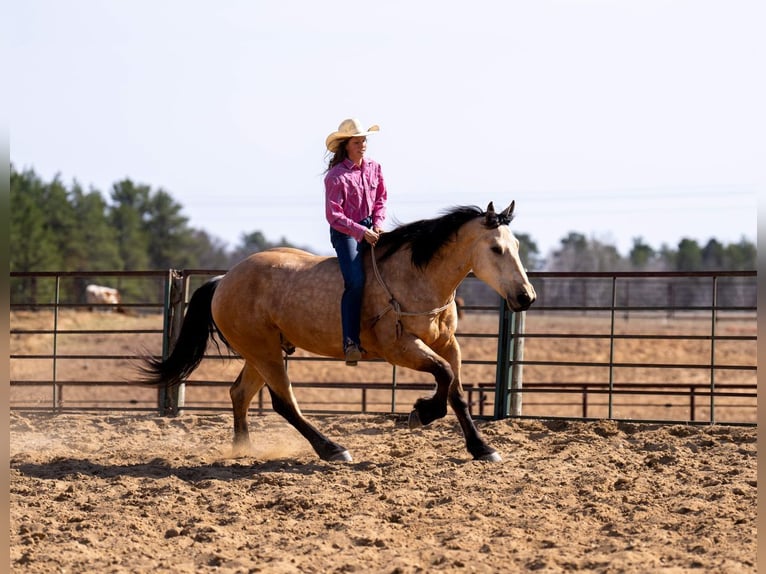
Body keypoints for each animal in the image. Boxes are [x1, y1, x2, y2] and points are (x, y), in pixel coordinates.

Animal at [141, 201, 536, 462]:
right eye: (496, 248)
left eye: (516, 246)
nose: (526, 297)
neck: (415, 277)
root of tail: (224, 280)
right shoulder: (400, 348)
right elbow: (443, 376)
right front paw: (421, 413)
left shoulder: (447, 343)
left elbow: (455, 390)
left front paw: (481, 448)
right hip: (265, 353)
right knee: (284, 402)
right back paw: (332, 449)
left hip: (260, 352)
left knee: (240, 394)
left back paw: (244, 449)